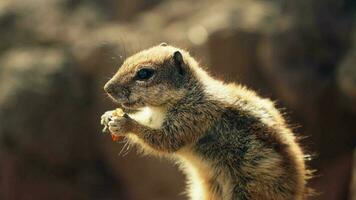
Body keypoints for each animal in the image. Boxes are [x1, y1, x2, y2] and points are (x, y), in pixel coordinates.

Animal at [100, 43, 312, 199]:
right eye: (126, 61)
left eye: (144, 73)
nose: (106, 88)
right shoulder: (154, 116)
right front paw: (108, 116)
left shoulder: (193, 117)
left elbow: (165, 141)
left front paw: (125, 124)